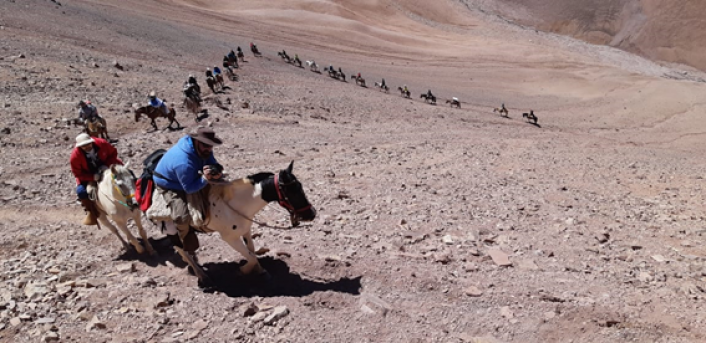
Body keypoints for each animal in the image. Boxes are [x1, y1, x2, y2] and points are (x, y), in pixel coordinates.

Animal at [162, 163, 316, 284]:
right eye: (293, 190)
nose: (312, 213)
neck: (238, 204)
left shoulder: (246, 229)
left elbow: (252, 251)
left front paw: (261, 271)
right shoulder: (230, 238)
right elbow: (251, 257)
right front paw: (242, 271)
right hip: (173, 232)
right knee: (182, 251)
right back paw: (202, 276)